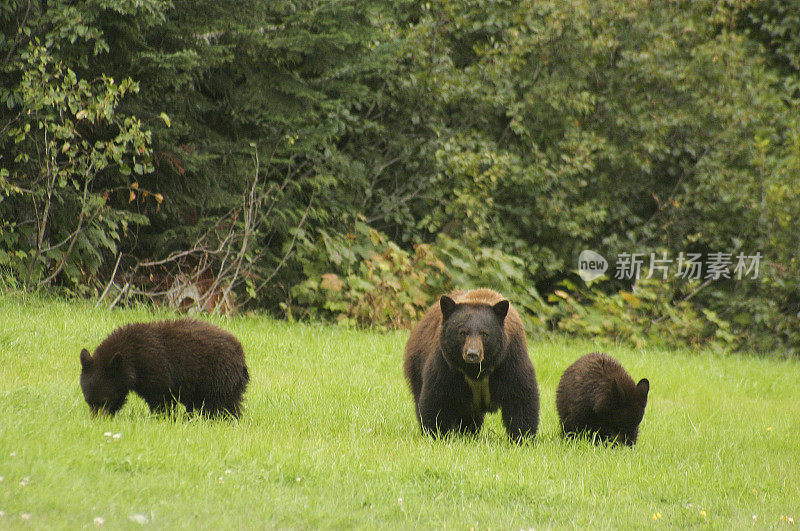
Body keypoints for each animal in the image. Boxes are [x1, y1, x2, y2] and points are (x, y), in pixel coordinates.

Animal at [78, 320, 248, 420]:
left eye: (104, 400)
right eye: (88, 400)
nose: (97, 421)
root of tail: (241, 354)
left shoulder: (155, 366)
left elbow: (161, 397)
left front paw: (162, 418)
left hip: (217, 377)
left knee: (220, 405)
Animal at [404, 290, 540, 440]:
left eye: (485, 334)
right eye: (462, 332)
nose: (472, 354)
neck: (476, 370)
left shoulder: (509, 360)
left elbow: (520, 396)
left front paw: (523, 437)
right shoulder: (446, 364)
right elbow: (437, 397)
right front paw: (435, 434)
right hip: (416, 365)